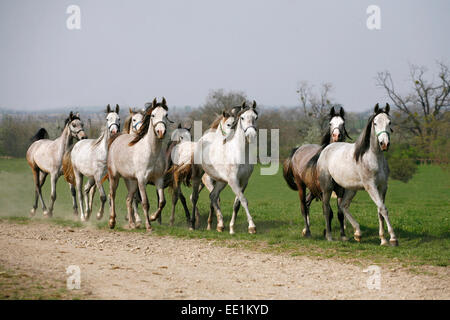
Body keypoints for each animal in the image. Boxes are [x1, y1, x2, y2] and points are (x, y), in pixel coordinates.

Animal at [107, 97, 171, 230]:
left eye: (166, 115)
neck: (152, 152)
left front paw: (153, 217)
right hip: (114, 177)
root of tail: (116, 139)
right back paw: (112, 221)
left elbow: (162, 202)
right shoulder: (142, 180)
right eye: (153, 115)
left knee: (128, 199)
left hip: (131, 181)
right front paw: (148, 225)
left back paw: (132, 223)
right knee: (112, 195)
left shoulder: (159, 179)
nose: (161, 132)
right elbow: (145, 202)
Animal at [187, 101, 256, 234]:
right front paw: (252, 227)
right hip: (198, 177)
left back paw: (220, 225)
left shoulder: (243, 181)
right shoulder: (233, 180)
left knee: (213, 196)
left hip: (221, 181)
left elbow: (237, 204)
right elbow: (244, 200)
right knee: (195, 197)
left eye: (256, 117)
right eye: (242, 117)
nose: (251, 135)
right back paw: (192, 225)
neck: (240, 152)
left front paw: (232, 228)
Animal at [316, 104, 398, 246]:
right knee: (327, 209)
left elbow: (380, 211)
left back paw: (358, 233)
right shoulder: (371, 186)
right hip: (327, 188)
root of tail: (327, 149)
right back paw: (329, 236)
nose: (384, 144)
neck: (373, 157)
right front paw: (393, 238)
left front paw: (383, 239)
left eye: (389, 122)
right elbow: (383, 209)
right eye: (375, 123)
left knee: (343, 206)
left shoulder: (382, 187)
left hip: (350, 189)